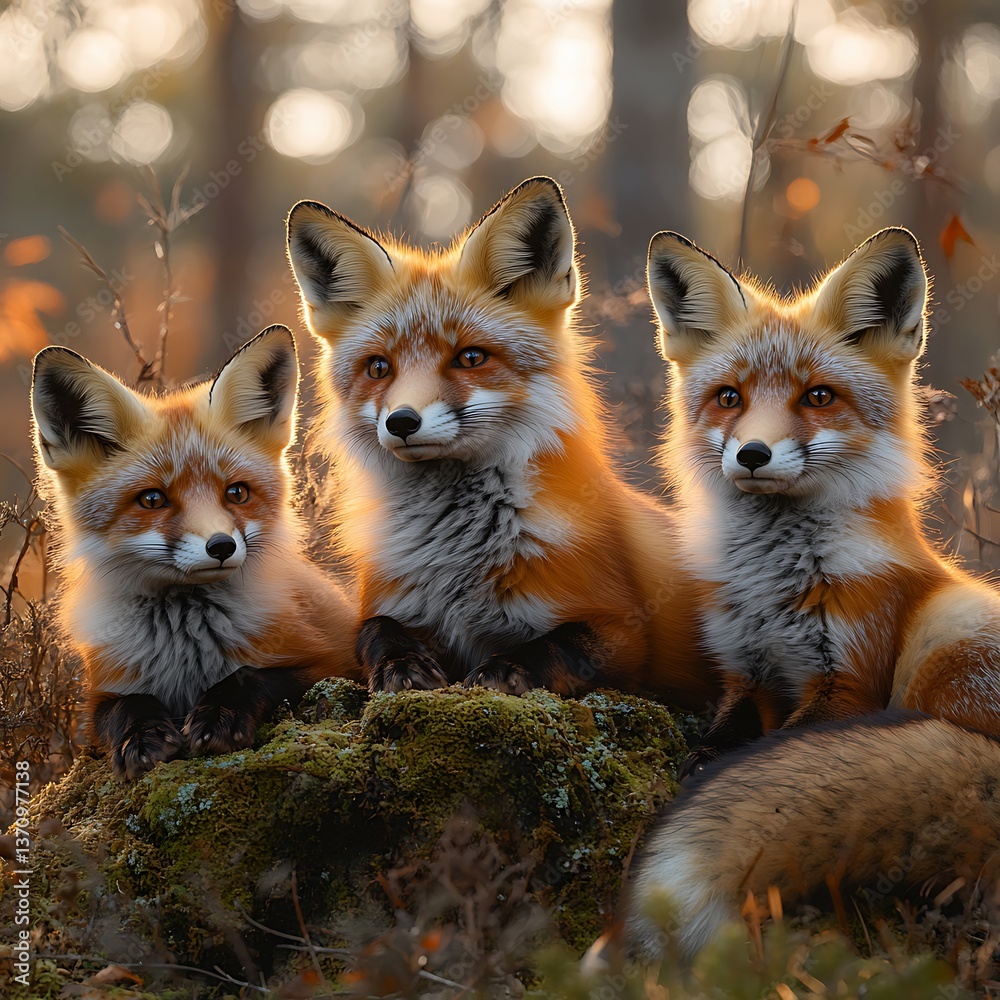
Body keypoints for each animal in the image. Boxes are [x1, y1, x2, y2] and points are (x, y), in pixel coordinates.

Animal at [31, 326, 358, 780]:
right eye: (152, 499)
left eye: (236, 493)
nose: (221, 546)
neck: (186, 648)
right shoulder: (101, 693)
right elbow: (125, 705)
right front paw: (142, 736)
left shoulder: (333, 663)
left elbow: (248, 674)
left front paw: (218, 713)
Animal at [285, 176, 717, 704]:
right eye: (379, 368)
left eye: (471, 358)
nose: (402, 422)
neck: (456, 557)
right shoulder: (383, 604)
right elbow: (374, 630)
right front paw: (402, 664)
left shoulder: (624, 631)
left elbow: (555, 645)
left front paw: (501, 669)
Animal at [614, 227, 1000, 961]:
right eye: (729, 397)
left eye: (818, 397)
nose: (753, 455)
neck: (773, 589)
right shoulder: (747, 671)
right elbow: (717, 745)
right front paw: (695, 766)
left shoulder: (846, 677)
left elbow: (755, 758)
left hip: (945, 644)